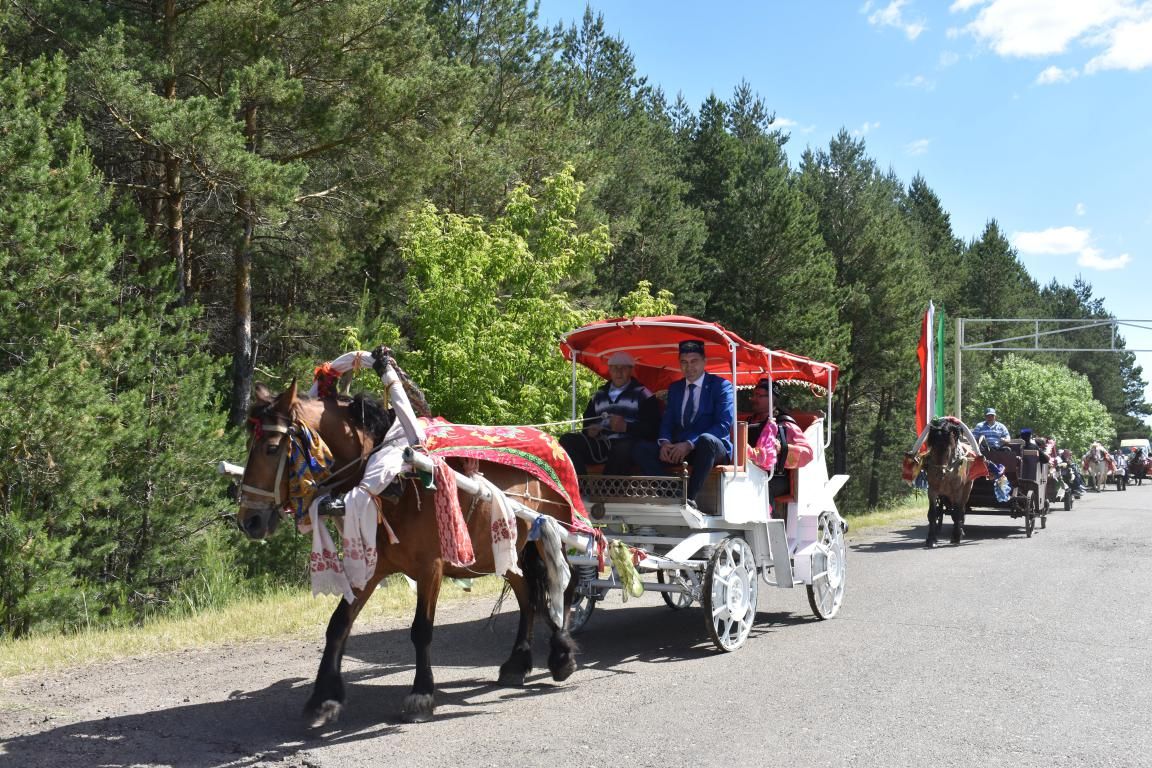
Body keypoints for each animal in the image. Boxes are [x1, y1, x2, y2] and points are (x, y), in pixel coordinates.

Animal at [236, 382, 576, 727]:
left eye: (272, 448)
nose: (249, 520)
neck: (393, 480)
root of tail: (553, 442)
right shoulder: (371, 567)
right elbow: (338, 625)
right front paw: (323, 698)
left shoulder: (431, 568)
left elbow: (421, 630)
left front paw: (421, 694)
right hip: (505, 550)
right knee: (528, 596)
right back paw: (518, 662)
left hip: (553, 533)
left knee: (562, 586)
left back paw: (561, 654)